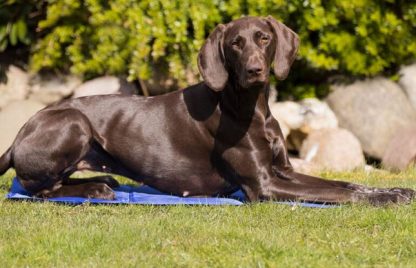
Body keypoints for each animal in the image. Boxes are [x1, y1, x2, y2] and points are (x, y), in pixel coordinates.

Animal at [0, 16, 412, 205]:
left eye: (264, 38)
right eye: (235, 44)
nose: (255, 70)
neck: (253, 109)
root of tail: (19, 134)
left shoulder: (283, 171)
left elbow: (345, 184)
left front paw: (396, 189)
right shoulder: (264, 186)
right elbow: (341, 194)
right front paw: (386, 199)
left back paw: (104, 181)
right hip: (74, 122)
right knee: (36, 189)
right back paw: (94, 190)